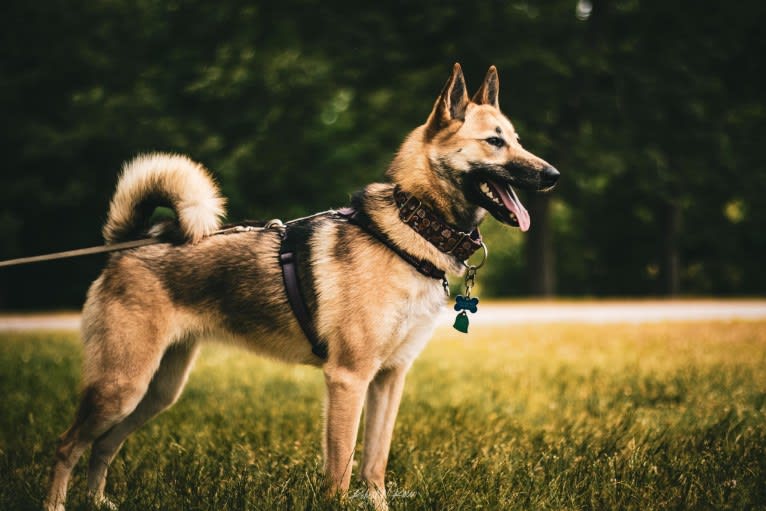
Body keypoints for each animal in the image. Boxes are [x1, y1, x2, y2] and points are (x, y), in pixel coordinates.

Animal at [46, 64, 560, 511]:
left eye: (517, 140)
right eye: (494, 142)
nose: (553, 175)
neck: (412, 226)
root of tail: (129, 244)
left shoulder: (389, 379)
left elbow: (373, 467)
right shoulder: (348, 379)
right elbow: (340, 471)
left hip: (156, 390)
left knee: (103, 445)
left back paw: (98, 503)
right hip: (122, 384)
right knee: (68, 445)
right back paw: (57, 503)